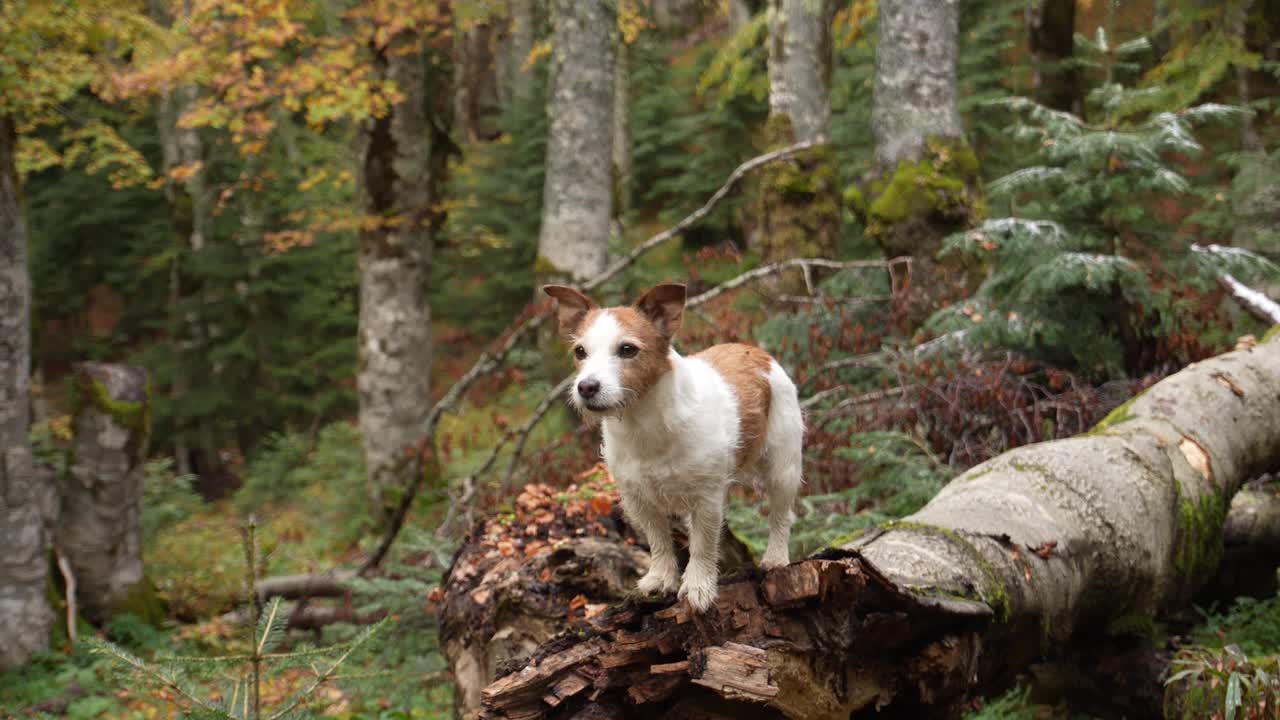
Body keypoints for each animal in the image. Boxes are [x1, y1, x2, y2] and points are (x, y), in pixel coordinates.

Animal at [540, 283, 798, 607]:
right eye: (580, 351)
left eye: (627, 349)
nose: (585, 387)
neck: (644, 424)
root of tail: (755, 351)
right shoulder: (639, 500)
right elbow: (659, 541)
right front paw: (661, 578)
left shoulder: (707, 498)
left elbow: (702, 544)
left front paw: (698, 586)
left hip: (783, 468)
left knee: (781, 516)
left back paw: (776, 557)